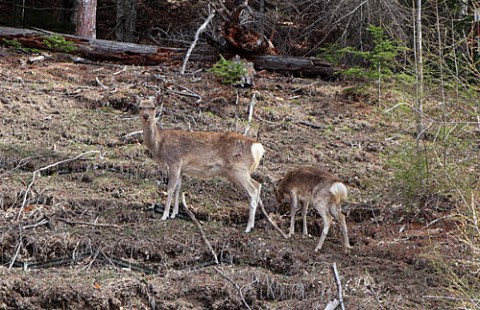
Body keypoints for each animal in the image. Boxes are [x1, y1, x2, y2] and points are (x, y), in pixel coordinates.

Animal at [139, 94, 264, 232]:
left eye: (153, 107)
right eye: (140, 107)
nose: (145, 116)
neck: (159, 144)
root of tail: (257, 147)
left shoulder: (175, 161)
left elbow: (170, 188)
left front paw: (165, 215)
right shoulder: (181, 168)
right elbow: (178, 187)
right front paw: (174, 213)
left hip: (238, 169)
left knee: (252, 191)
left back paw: (248, 227)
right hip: (239, 171)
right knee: (258, 185)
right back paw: (252, 224)